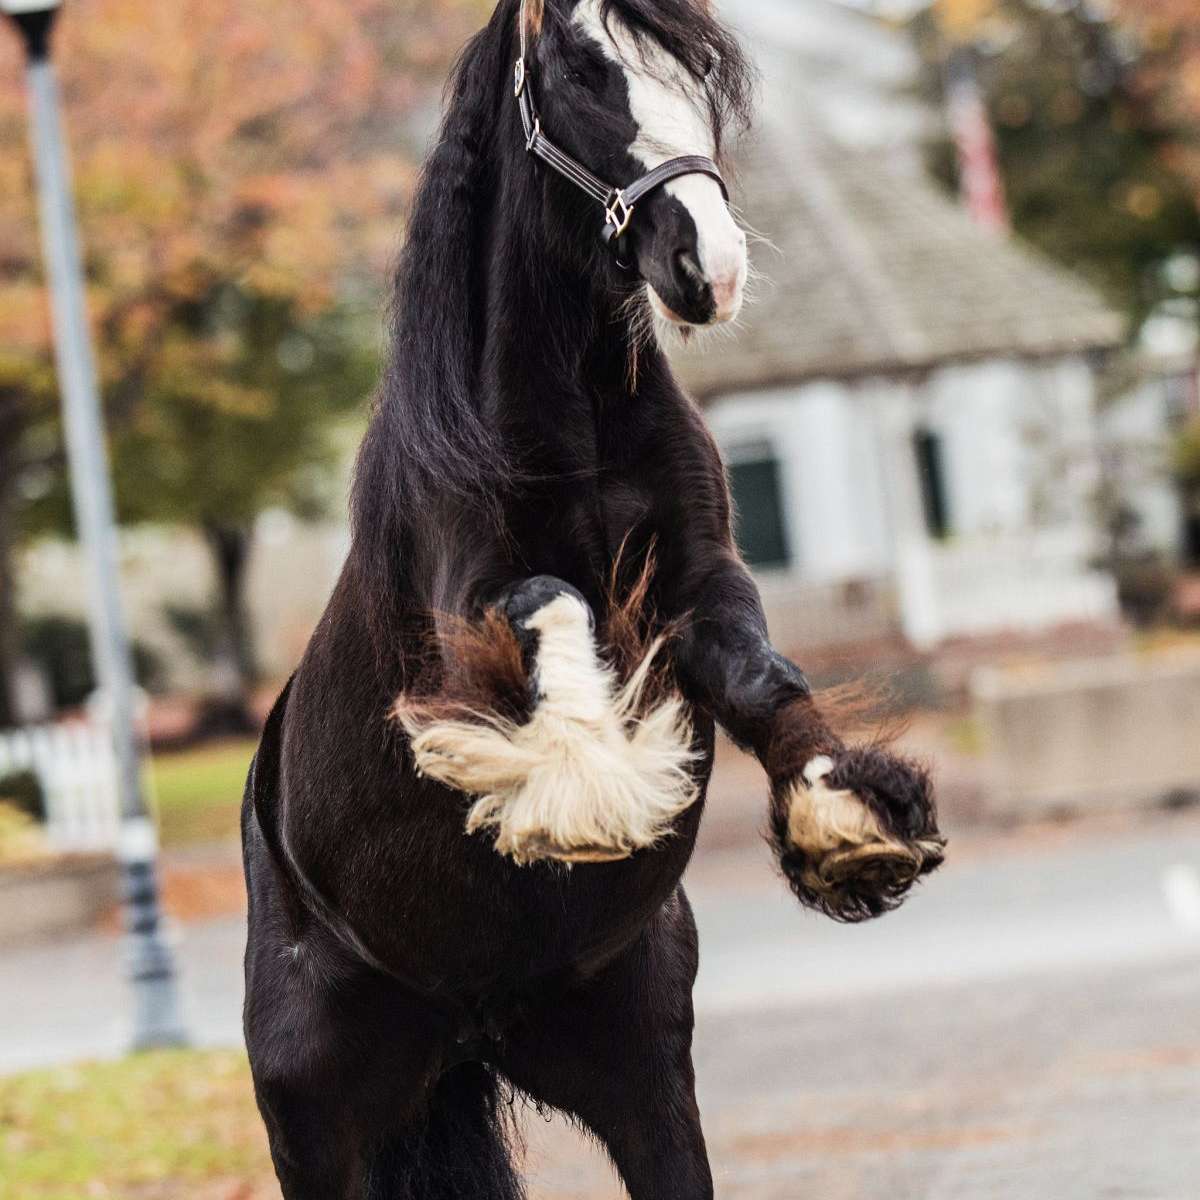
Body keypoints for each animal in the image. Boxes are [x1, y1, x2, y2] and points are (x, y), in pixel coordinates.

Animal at [238, 4, 940, 1195]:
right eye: (576, 69)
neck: (574, 417)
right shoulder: (461, 617)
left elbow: (761, 675)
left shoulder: (704, 581)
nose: (709, 265)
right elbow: (554, 602)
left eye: (699, 71)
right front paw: (586, 778)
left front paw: (846, 818)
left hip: (639, 1080)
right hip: (315, 1125)